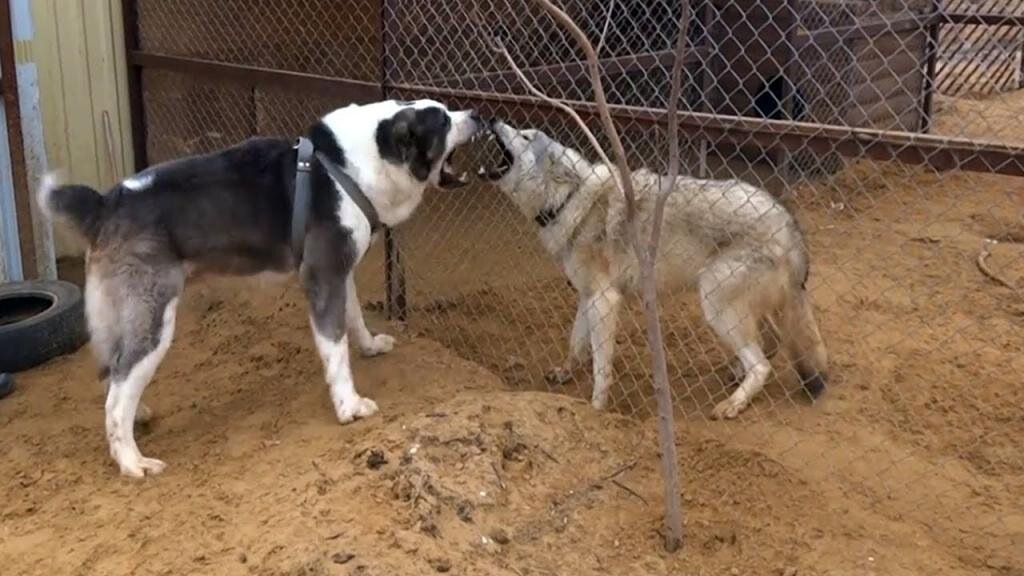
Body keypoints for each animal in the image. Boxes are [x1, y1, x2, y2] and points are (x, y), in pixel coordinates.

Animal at [40, 99, 487, 475]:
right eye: (443, 120)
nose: (477, 114)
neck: (354, 165)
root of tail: (104, 203)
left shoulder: (340, 273)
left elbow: (354, 318)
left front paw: (370, 346)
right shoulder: (322, 278)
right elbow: (335, 350)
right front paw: (348, 406)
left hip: (117, 316)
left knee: (112, 372)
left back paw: (139, 414)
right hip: (153, 318)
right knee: (117, 396)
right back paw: (132, 462)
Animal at [483, 120, 827, 416]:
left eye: (526, 136)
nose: (492, 120)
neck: (568, 199)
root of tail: (789, 222)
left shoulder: (605, 299)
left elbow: (601, 367)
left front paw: (596, 408)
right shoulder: (587, 294)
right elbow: (575, 344)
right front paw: (565, 372)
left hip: (714, 304)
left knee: (762, 364)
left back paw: (733, 403)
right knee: (771, 343)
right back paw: (736, 374)